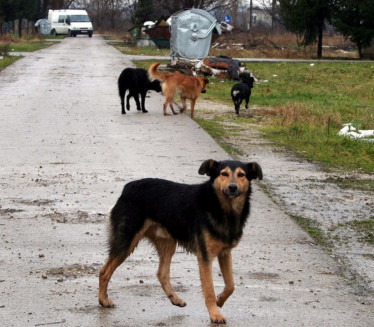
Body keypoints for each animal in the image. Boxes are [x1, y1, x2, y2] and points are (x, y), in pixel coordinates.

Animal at [99, 160, 262, 326]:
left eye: (241, 174)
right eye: (224, 174)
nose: (232, 187)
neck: (221, 207)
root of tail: (127, 188)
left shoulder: (224, 253)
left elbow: (231, 285)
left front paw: (220, 301)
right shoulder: (205, 256)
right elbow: (209, 289)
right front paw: (215, 314)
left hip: (167, 244)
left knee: (162, 274)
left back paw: (175, 299)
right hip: (126, 242)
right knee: (104, 272)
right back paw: (103, 300)